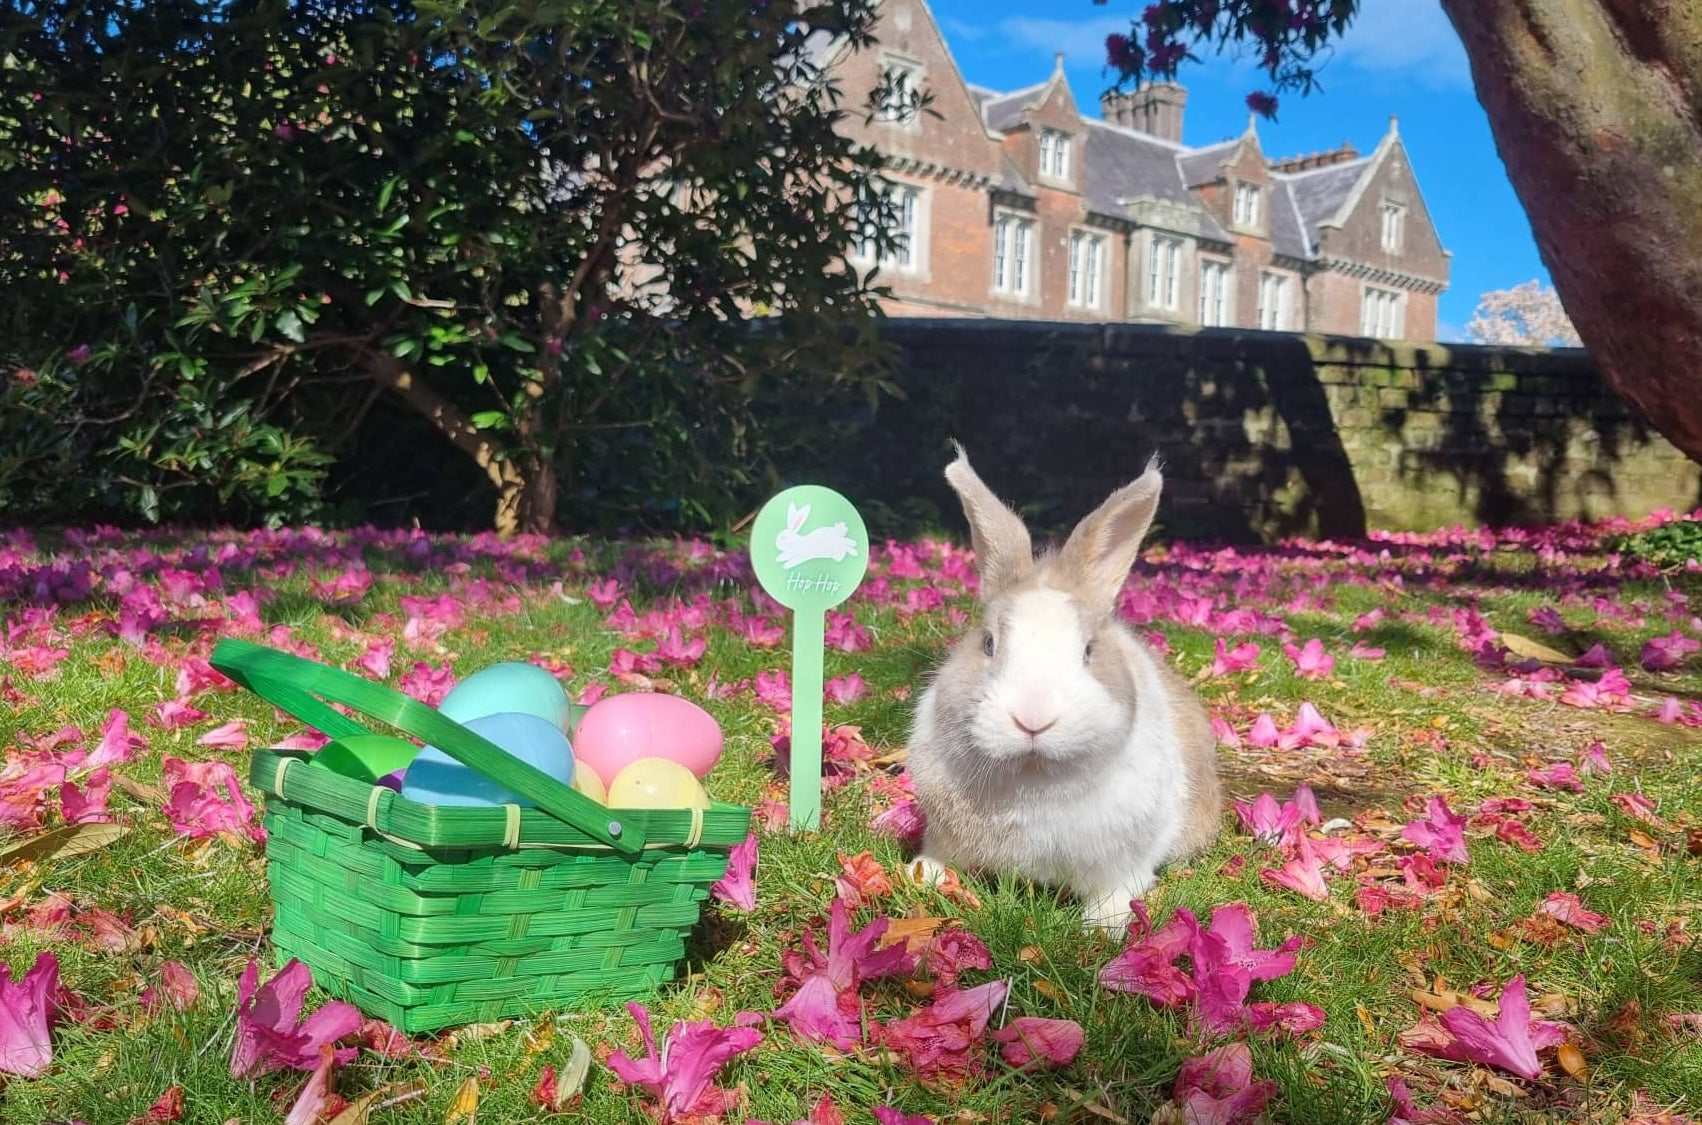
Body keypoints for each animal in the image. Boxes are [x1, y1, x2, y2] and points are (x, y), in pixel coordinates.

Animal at [904, 443, 1224, 934]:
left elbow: (1117, 890)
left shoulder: (1126, 860)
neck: (1033, 779)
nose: (1033, 718)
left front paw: (1102, 926)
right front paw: (923, 874)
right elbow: (939, 857)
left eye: (1089, 649)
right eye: (988, 643)